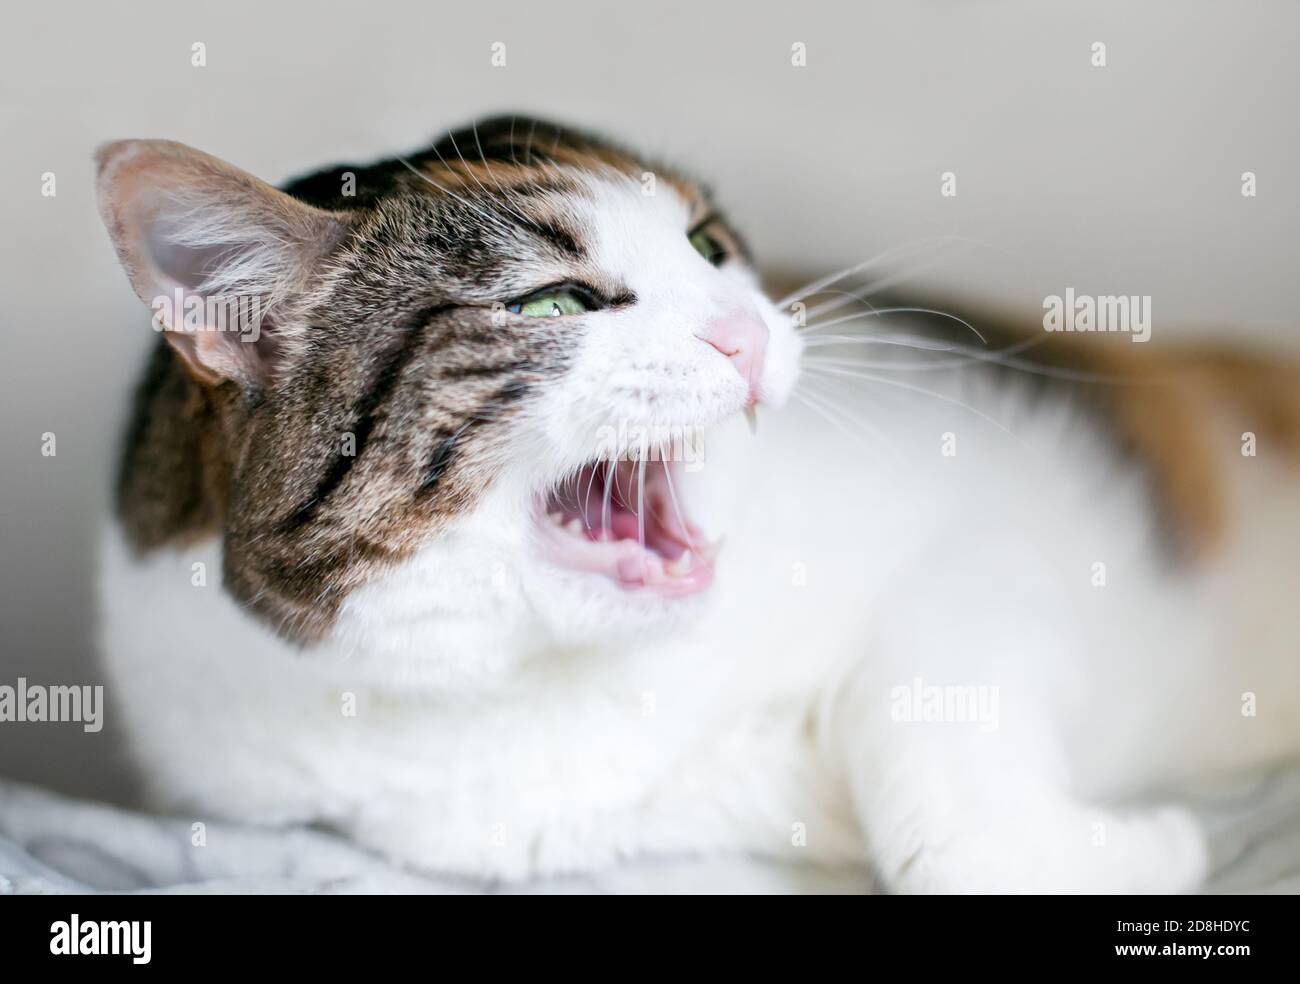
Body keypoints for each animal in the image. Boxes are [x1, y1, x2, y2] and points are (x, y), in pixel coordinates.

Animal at [94, 115, 1300, 889]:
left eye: (710, 247)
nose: (749, 331)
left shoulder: (991, 529)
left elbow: (938, 773)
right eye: (552, 302)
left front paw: (1137, 847)